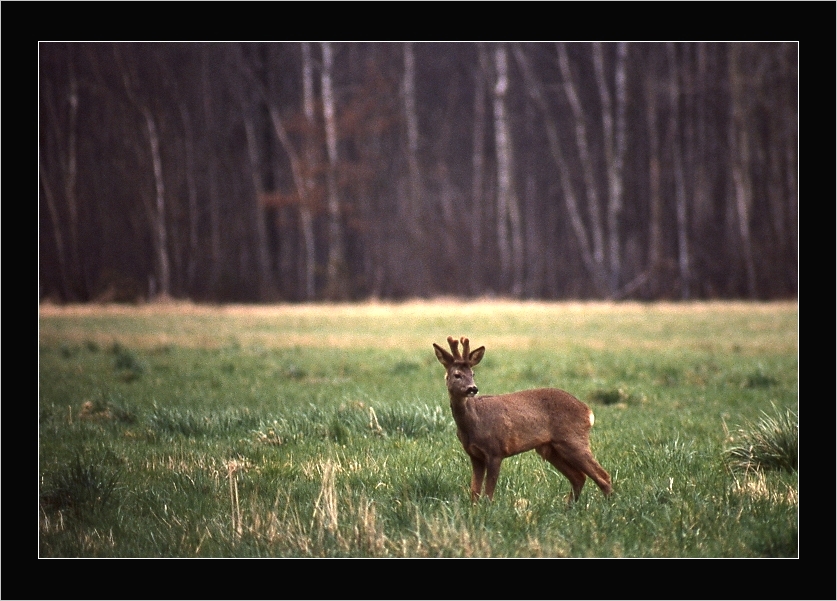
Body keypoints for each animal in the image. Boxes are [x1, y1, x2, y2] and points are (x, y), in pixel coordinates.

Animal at [434, 338, 612, 502]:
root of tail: (588, 411)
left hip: (573, 440)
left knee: (603, 476)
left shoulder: (496, 450)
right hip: (551, 448)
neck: (474, 421)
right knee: (579, 477)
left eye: (473, 374)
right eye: (457, 375)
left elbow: (489, 493)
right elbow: (474, 492)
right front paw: (475, 511)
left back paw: (608, 506)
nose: (473, 388)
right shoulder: (474, 455)